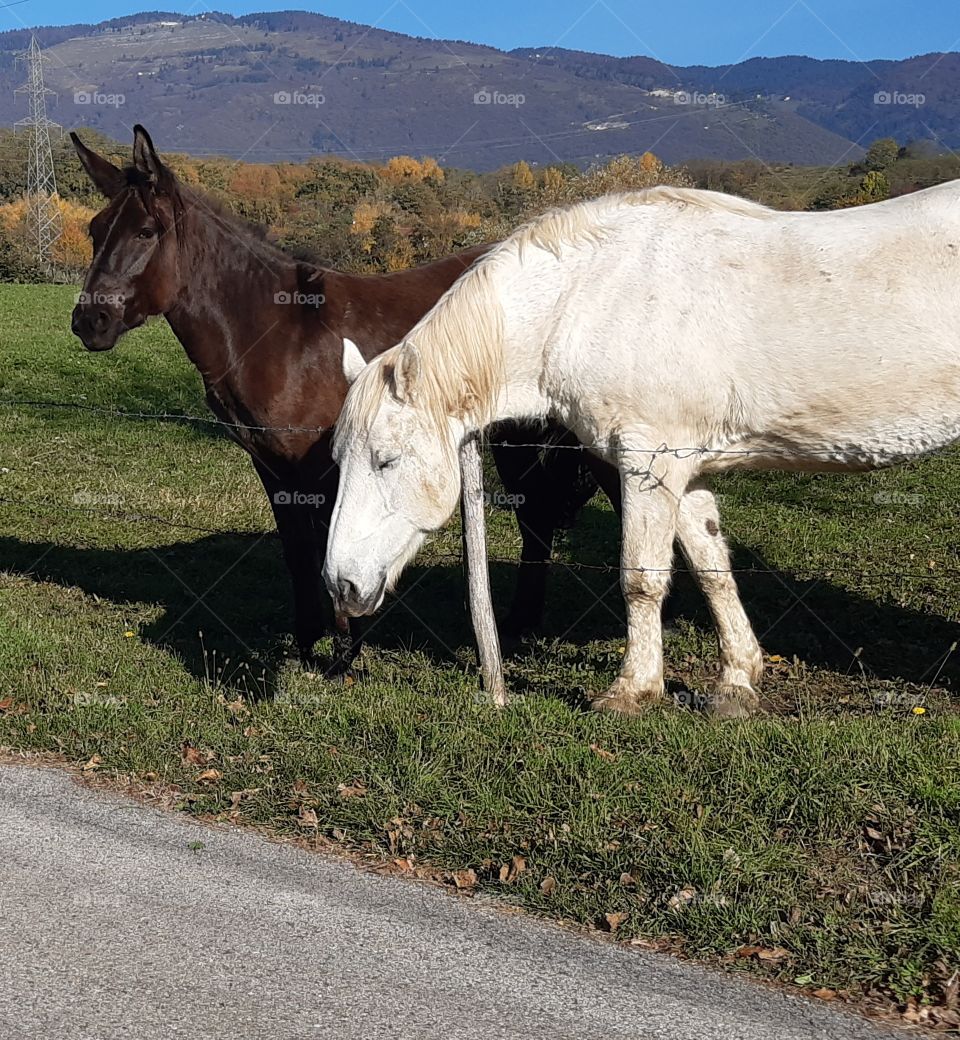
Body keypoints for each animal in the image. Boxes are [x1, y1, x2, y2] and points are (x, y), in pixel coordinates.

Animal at [69, 124, 606, 672]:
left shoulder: (327, 464)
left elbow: (333, 541)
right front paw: (309, 641)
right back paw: (520, 624)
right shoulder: (273, 467)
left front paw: (345, 653)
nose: (89, 322)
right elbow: (298, 551)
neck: (282, 332)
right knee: (536, 514)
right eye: (94, 230)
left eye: (145, 232)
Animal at [325, 182, 960, 717]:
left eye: (386, 460)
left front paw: (633, 691)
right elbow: (711, 568)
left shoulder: (647, 463)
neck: (584, 299)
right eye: (339, 461)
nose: (341, 585)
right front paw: (736, 682)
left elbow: (642, 578)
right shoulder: (686, 470)